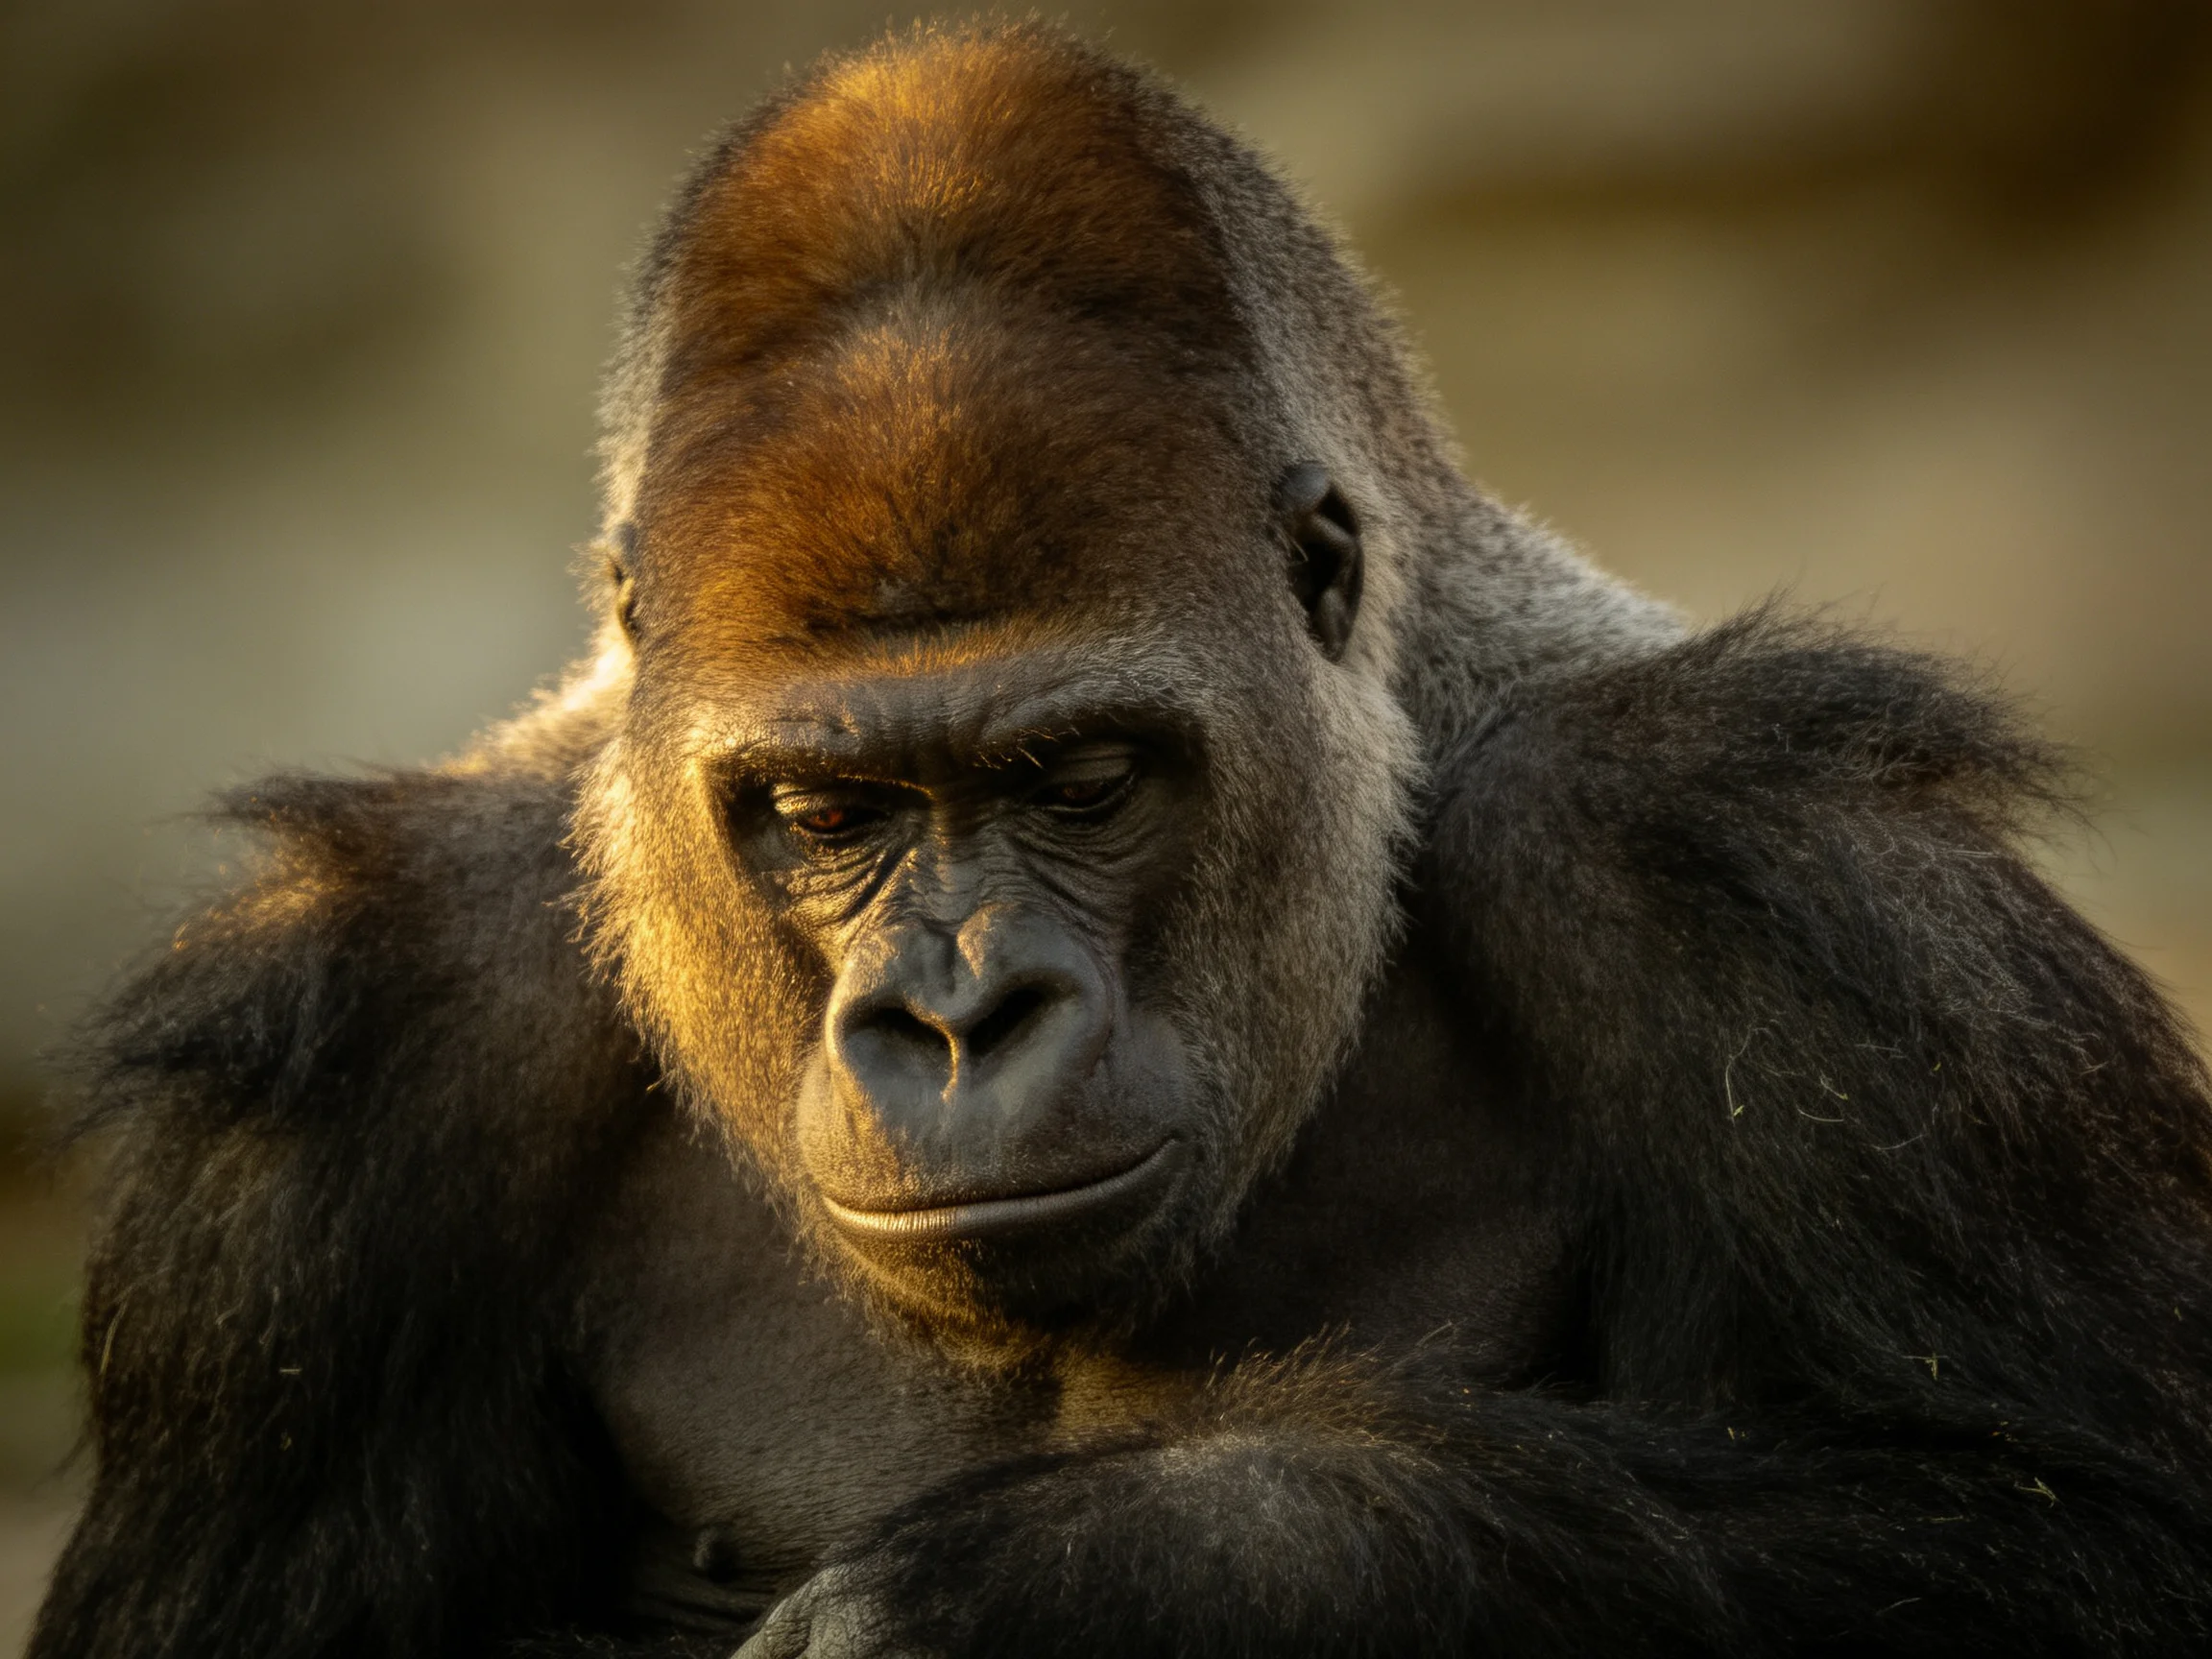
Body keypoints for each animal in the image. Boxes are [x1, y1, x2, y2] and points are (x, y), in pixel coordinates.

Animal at [31, 22, 2212, 1659]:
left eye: (1082, 777)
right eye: (825, 813)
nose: (956, 1016)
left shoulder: (1774, 883)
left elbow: (2091, 1530)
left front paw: (1127, 1574)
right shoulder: (347, 1060)